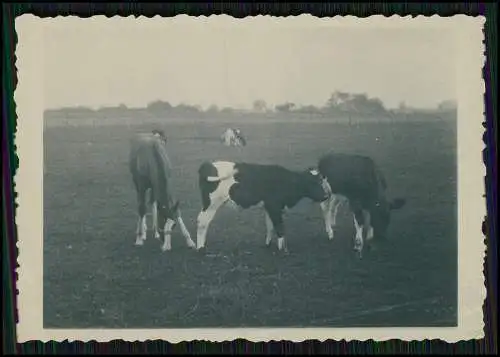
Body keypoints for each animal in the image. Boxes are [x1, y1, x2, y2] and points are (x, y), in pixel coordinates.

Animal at [196, 160, 332, 252]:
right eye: (313, 182)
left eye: (322, 180)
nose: (326, 195)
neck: (287, 181)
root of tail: (207, 164)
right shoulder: (275, 207)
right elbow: (279, 227)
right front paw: (282, 249)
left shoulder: (269, 207)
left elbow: (270, 226)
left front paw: (268, 243)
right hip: (211, 204)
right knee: (202, 222)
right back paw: (200, 247)